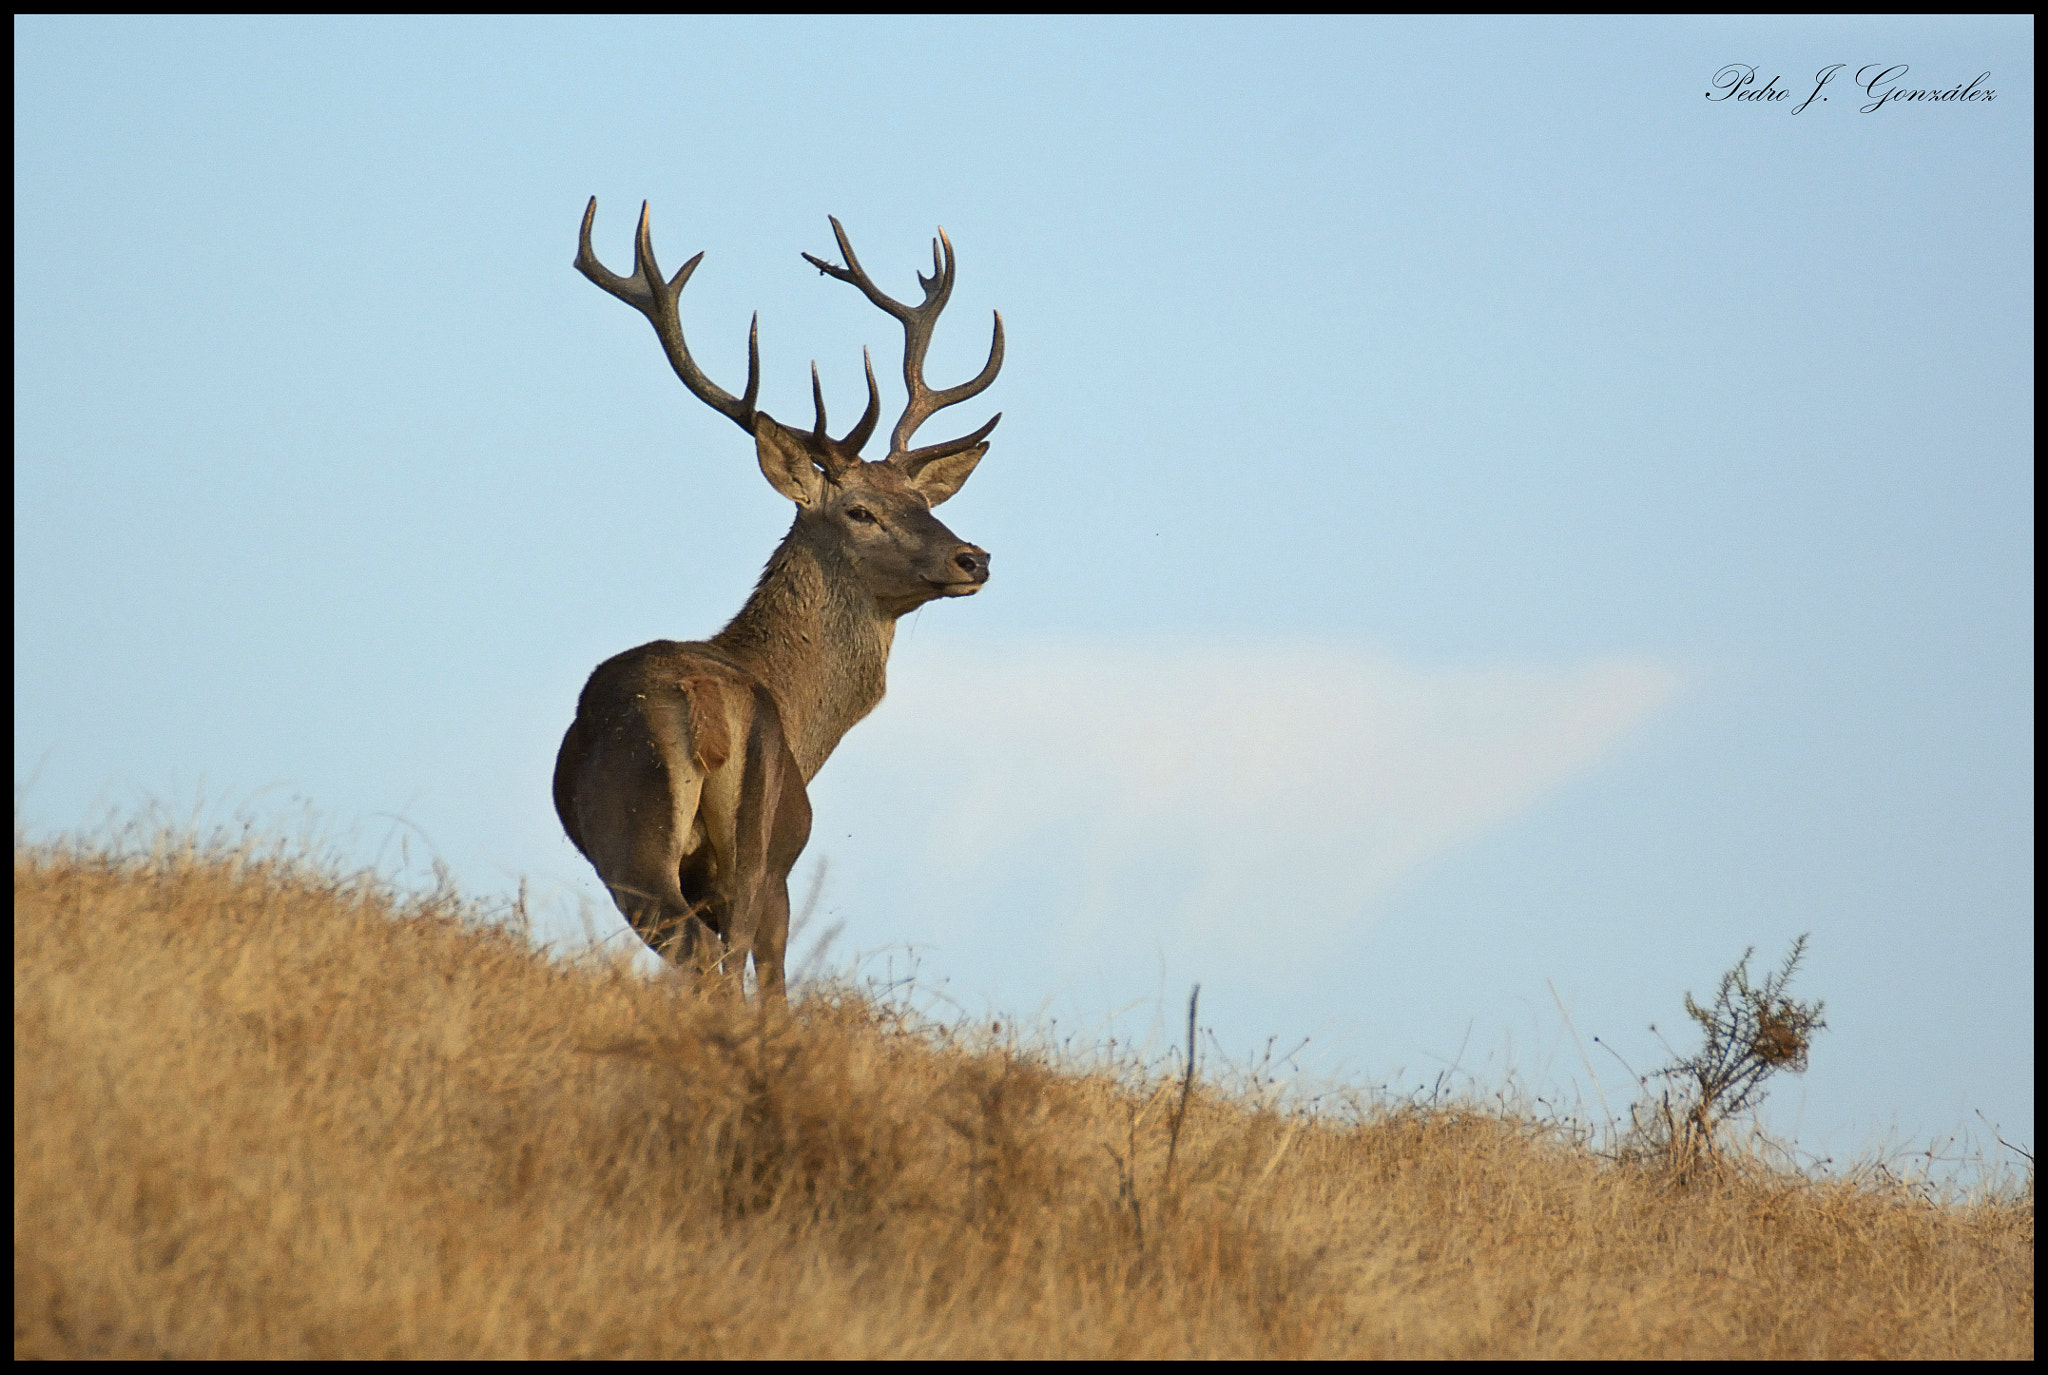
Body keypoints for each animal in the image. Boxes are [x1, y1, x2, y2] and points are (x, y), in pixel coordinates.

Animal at [552, 196, 999, 1000]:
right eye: (860, 511)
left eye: (921, 499)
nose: (972, 557)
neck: (802, 723)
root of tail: (703, 704)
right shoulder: (781, 865)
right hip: (707, 847)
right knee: (718, 961)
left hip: (655, 844)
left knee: (709, 960)